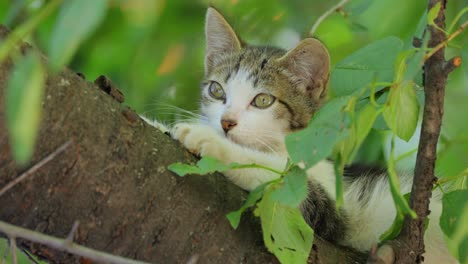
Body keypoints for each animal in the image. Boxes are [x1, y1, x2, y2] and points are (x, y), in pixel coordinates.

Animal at [151, 7, 458, 262]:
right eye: (216, 91)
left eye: (263, 100)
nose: (225, 123)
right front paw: (159, 125)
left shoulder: (333, 209)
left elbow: (273, 174)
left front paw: (207, 139)